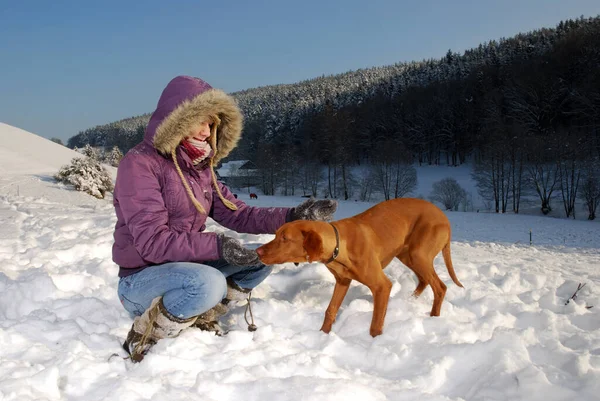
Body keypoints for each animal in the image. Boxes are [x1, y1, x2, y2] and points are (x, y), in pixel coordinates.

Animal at [255, 198, 462, 336]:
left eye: (284, 238)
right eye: (276, 234)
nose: (258, 251)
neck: (339, 245)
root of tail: (444, 217)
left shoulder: (381, 286)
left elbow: (376, 322)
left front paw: (375, 341)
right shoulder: (342, 281)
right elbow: (330, 310)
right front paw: (323, 334)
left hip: (418, 254)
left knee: (440, 287)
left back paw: (433, 318)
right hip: (408, 255)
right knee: (424, 280)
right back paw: (412, 300)